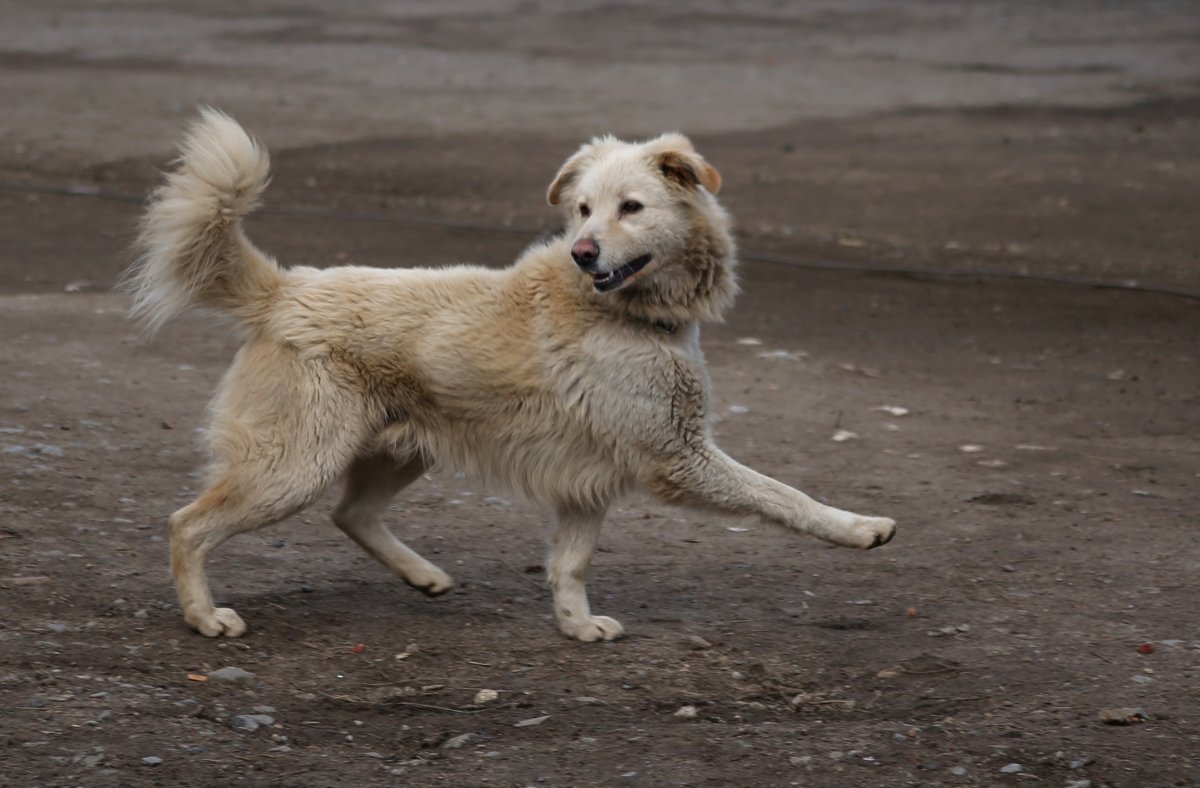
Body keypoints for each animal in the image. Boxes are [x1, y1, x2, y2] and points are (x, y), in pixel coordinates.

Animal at [124, 109, 892, 638]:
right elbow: (782, 495)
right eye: (582, 210)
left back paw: (424, 576)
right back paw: (204, 616)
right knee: (188, 525)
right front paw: (857, 528)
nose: (584, 252)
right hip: (293, 466)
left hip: (400, 450)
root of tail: (284, 289)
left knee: (351, 512)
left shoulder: (588, 480)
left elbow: (570, 563)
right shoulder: (678, 457)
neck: (622, 315)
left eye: (631, 208)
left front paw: (576, 625)